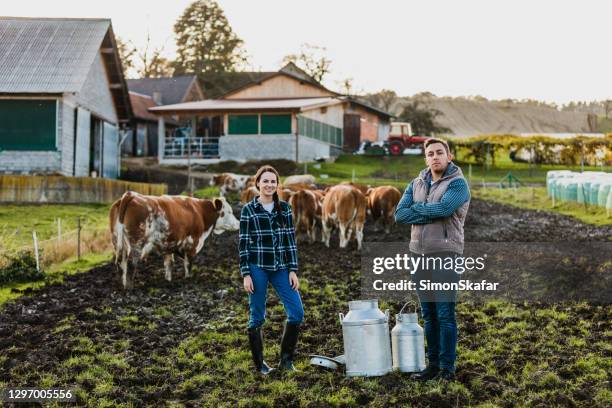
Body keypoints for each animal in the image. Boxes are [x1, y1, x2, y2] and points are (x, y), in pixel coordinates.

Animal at [109, 192, 238, 290]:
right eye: (229, 212)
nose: (238, 223)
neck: (200, 212)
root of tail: (131, 195)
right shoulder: (192, 244)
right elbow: (188, 264)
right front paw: (188, 280)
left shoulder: (169, 245)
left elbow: (169, 264)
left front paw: (168, 281)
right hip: (136, 244)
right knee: (131, 264)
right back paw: (129, 287)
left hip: (117, 242)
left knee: (121, 263)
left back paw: (122, 285)